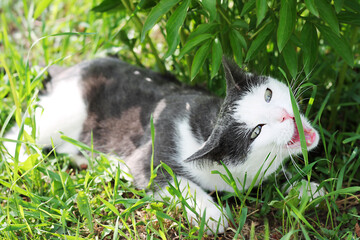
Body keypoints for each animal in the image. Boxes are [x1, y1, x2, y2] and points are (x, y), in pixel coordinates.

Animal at [2, 56, 322, 234]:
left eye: (268, 94)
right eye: (256, 131)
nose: (283, 114)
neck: (205, 121)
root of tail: (66, 70)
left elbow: (275, 177)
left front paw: (307, 189)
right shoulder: (149, 156)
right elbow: (174, 180)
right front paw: (212, 215)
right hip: (61, 113)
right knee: (21, 133)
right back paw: (24, 158)